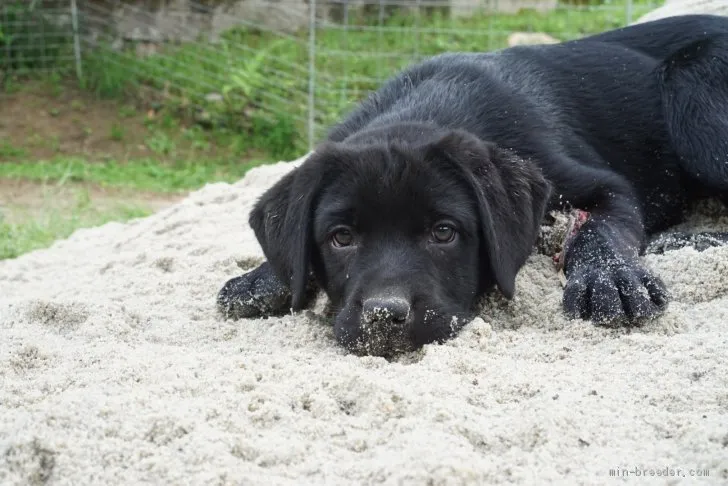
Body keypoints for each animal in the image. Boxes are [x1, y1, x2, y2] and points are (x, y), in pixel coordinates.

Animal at [216, 16, 728, 356]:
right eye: (341, 238)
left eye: (444, 232)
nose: (384, 316)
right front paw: (261, 279)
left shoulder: (605, 185)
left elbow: (597, 230)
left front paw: (609, 278)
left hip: (692, 94)